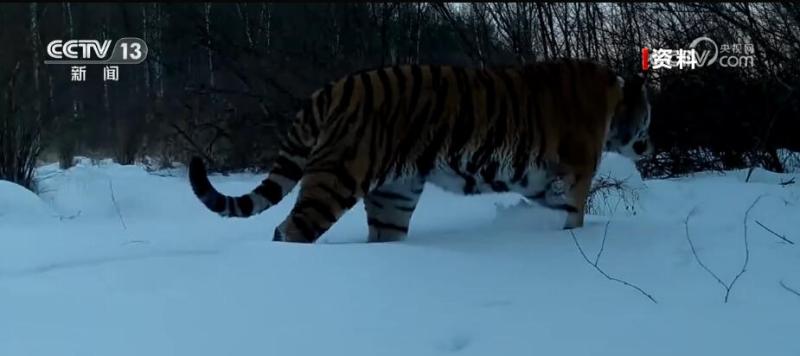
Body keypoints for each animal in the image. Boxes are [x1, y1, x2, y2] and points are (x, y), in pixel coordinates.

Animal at [191, 58, 652, 243]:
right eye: (649, 118)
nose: (650, 144)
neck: (613, 106)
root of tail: (329, 89)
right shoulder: (576, 170)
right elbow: (574, 213)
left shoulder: (541, 180)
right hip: (335, 178)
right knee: (290, 231)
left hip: (394, 195)